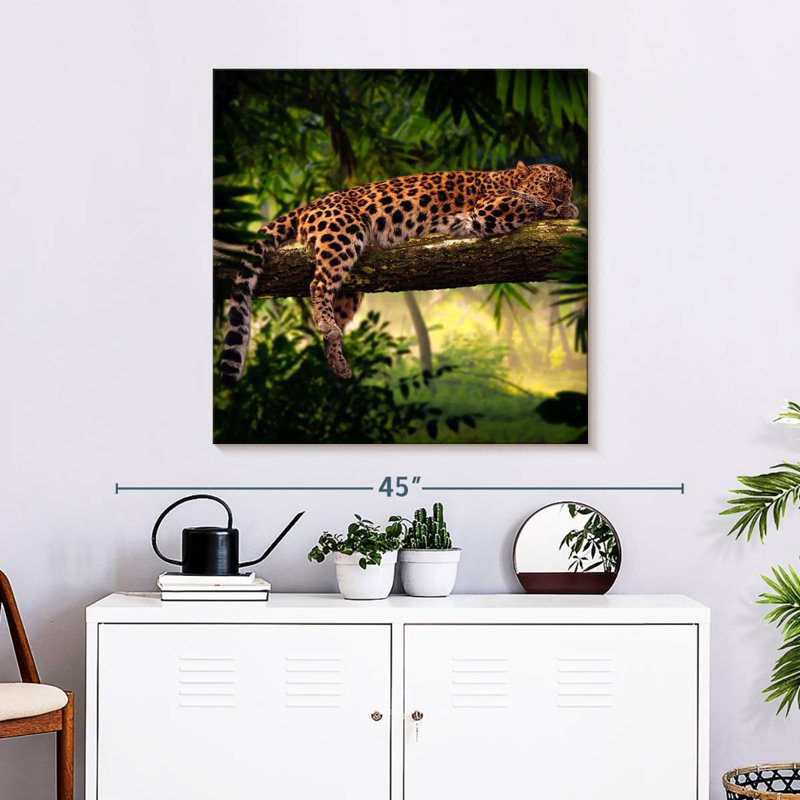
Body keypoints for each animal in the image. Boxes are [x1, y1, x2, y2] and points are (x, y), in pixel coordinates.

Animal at [219, 161, 579, 384]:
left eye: (568, 188)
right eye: (548, 184)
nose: (563, 200)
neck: (507, 178)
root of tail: (309, 205)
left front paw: (569, 208)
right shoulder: (488, 209)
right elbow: (528, 203)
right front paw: (561, 209)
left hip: (350, 285)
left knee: (335, 302)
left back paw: (337, 359)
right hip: (342, 233)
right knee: (318, 282)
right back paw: (326, 325)